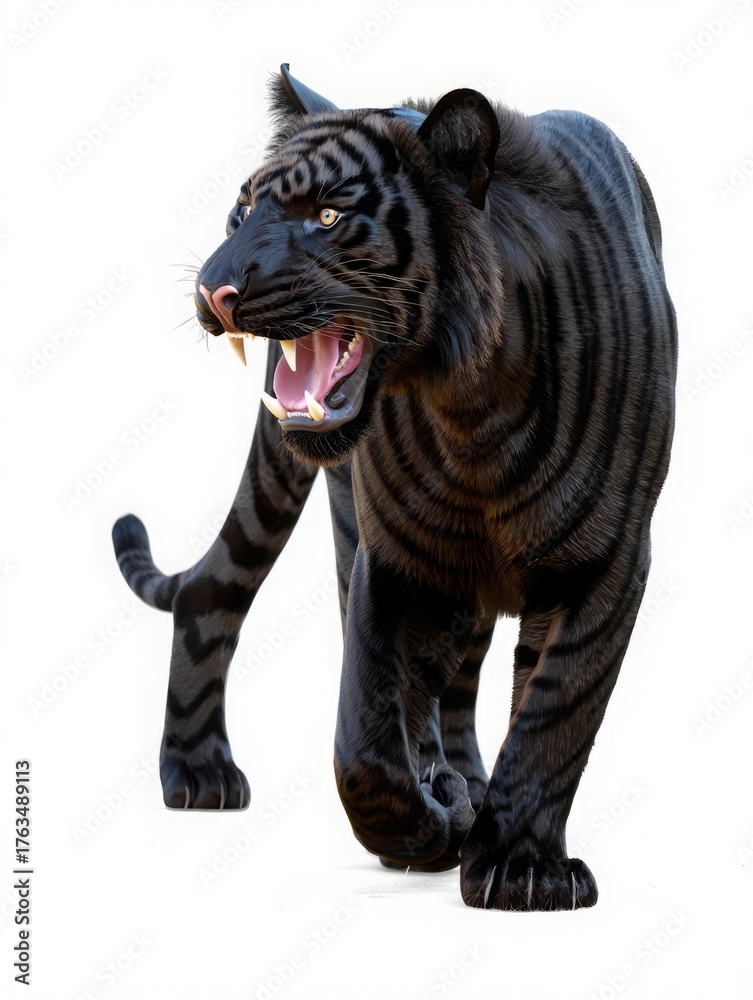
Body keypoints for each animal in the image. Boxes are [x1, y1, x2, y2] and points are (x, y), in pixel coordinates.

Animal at [113, 64, 676, 910]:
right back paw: (200, 774)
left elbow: (553, 713)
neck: (473, 406)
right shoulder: (396, 560)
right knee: (214, 591)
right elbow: (368, 733)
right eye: (241, 210)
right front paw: (420, 828)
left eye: (328, 214)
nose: (215, 289)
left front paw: (519, 867)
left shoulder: (602, 564)